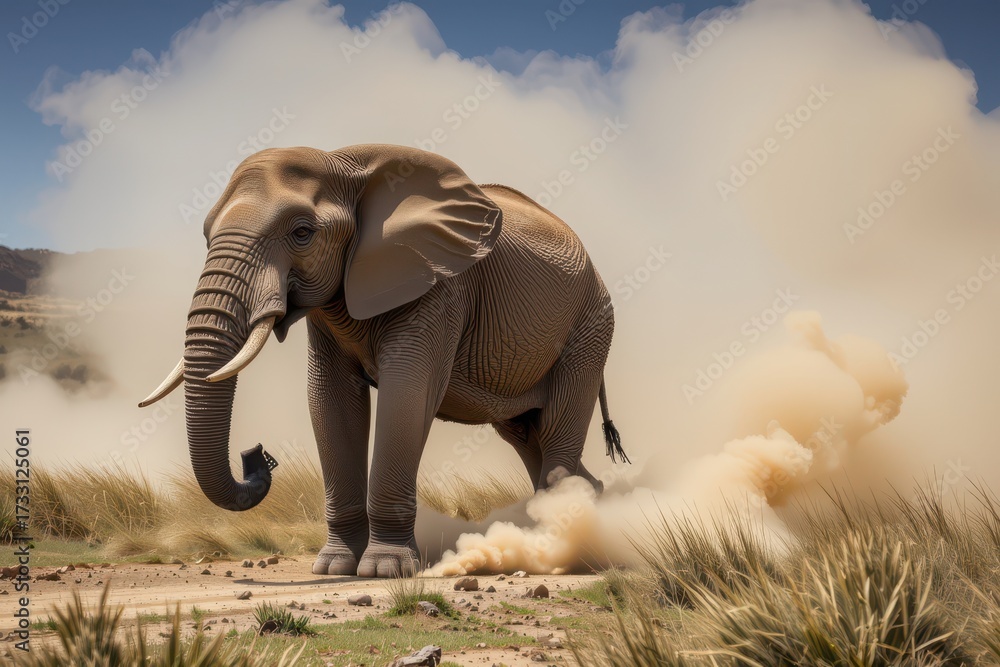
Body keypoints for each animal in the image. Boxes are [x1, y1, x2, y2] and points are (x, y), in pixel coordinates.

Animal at [139, 144, 627, 578]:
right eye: (206, 235)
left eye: (302, 233)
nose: (257, 454)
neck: (346, 164)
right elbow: (330, 401)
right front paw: (334, 568)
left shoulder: (438, 285)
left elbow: (407, 391)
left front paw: (385, 570)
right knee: (527, 433)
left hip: (590, 324)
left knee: (558, 427)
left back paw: (556, 545)